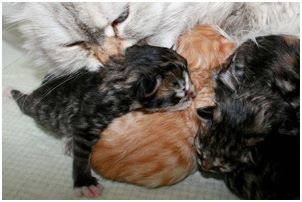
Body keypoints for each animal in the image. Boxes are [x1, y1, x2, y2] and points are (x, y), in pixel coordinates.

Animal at [10, 44, 195, 197]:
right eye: (180, 93)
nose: (193, 94)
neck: (118, 78)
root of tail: (39, 90)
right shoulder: (88, 121)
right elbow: (82, 155)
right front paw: (84, 182)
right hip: (34, 107)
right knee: (24, 103)